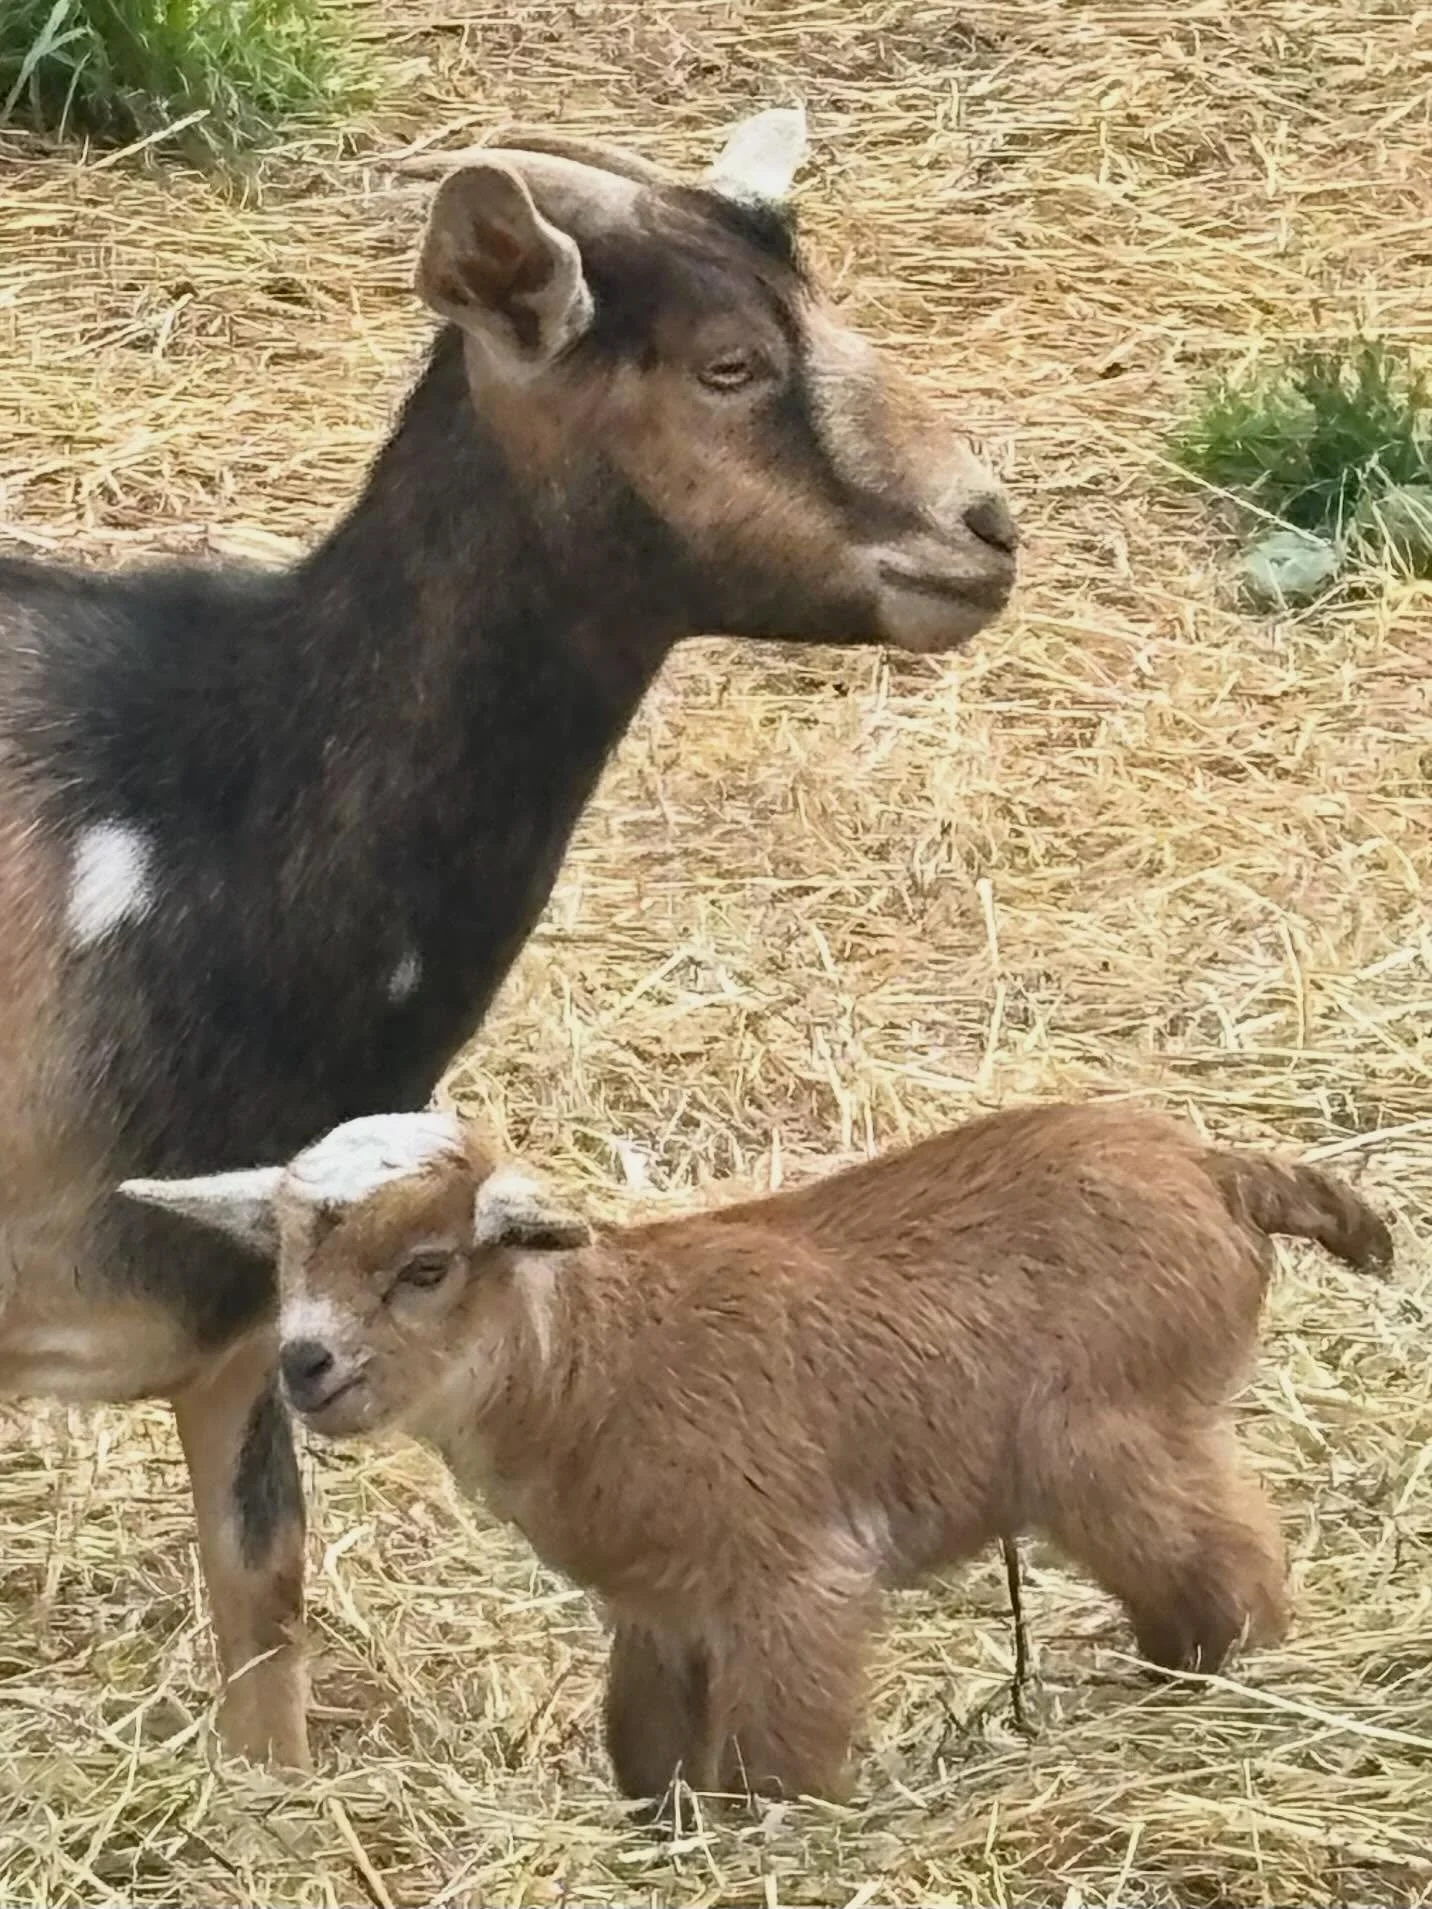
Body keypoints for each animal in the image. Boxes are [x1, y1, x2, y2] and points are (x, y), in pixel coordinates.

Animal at [122, 1100, 1393, 1802]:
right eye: (286, 1258)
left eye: (426, 1267)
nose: (302, 1365)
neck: (602, 1367)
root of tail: (1216, 1171)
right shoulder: (661, 1605)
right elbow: (644, 1747)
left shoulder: (795, 1578)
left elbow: (777, 1757)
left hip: (1111, 1436)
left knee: (1227, 1557)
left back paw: (1219, 1678)